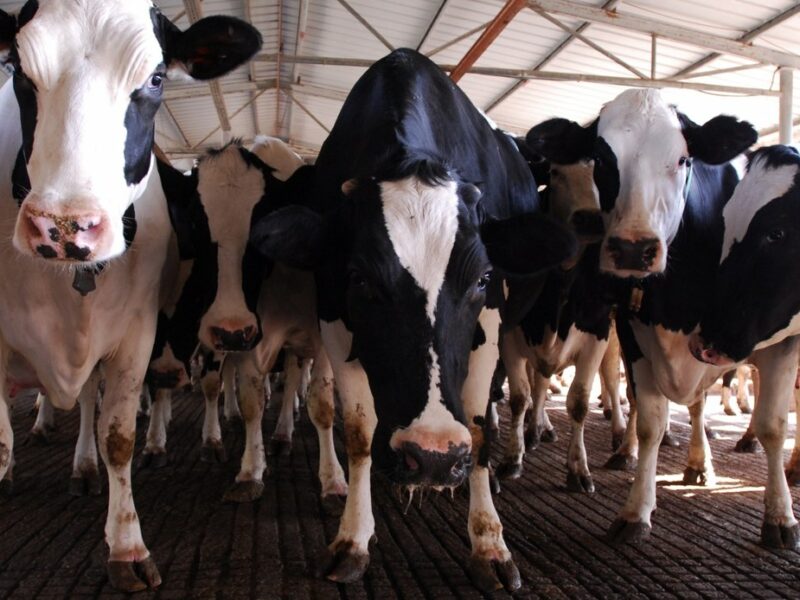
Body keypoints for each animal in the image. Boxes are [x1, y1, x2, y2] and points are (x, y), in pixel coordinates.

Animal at [0, 0, 260, 592]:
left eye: (157, 78)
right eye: (19, 72)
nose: (64, 227)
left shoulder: (140, 333)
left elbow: (118, 432)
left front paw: (128, 547)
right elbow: (1, 443)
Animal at [250, 47, 576, 592]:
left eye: (483, 277)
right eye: (360, 277)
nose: (432, 455)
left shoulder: (491, 322)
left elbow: (478, 427)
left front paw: (489, 544)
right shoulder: (334, 315)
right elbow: (359, 432)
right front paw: (352, 539)